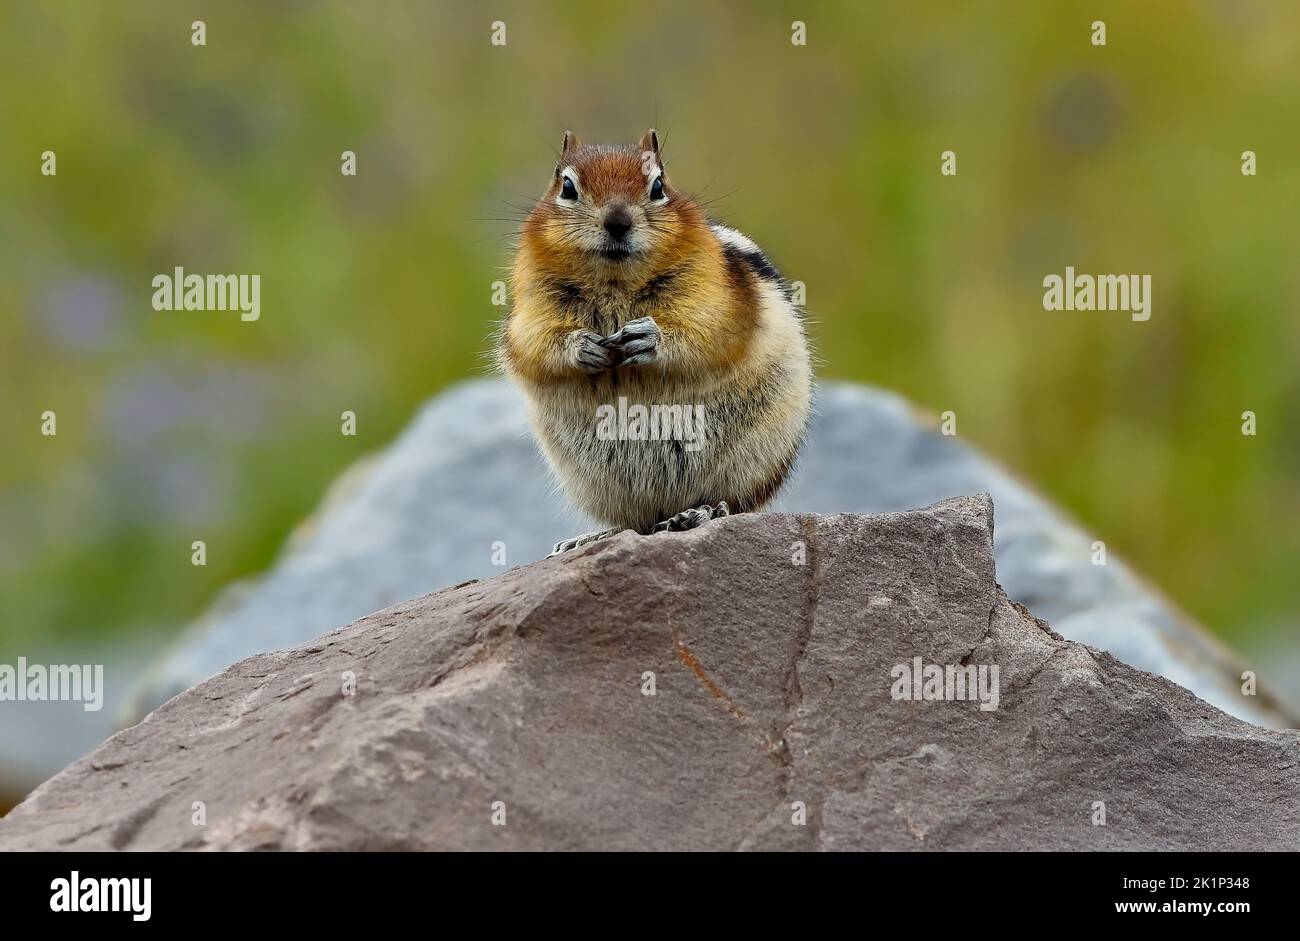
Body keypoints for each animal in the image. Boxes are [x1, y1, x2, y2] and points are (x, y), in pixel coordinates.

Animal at [496, 133, 811, 558]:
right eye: (567, 187)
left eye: (658, 186)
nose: (617, 221)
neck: (614, 281)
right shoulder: (531, 305)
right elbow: (533, 344)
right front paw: (584, 346)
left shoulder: (715, 295)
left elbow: (708, 330)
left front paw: (648, 337)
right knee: (636, 522)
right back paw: (592, 537)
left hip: (754, 461)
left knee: (734, 503)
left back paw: (699, 514)